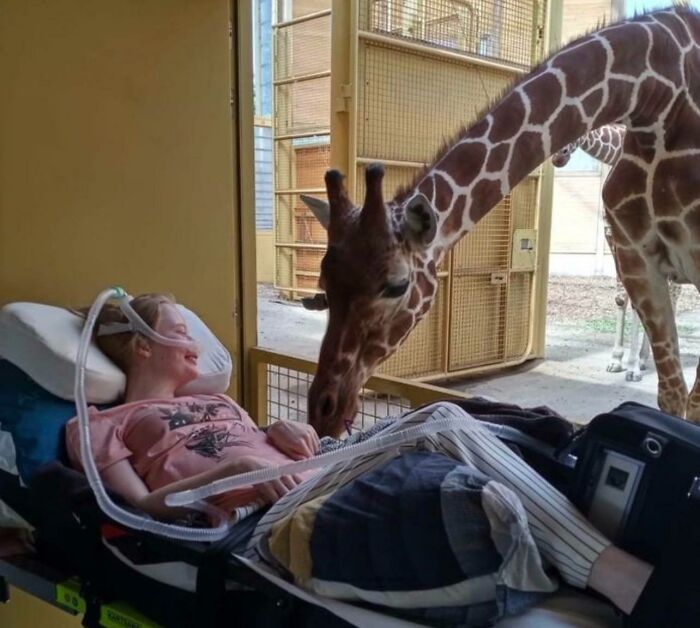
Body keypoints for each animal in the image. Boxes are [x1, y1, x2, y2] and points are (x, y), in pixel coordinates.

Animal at [551, 125, 683, 382]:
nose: (558, 156)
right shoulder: (612, 236)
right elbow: (622, 298)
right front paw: (618, 360)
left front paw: (632, 367)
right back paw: (646, 357)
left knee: (673, 295)